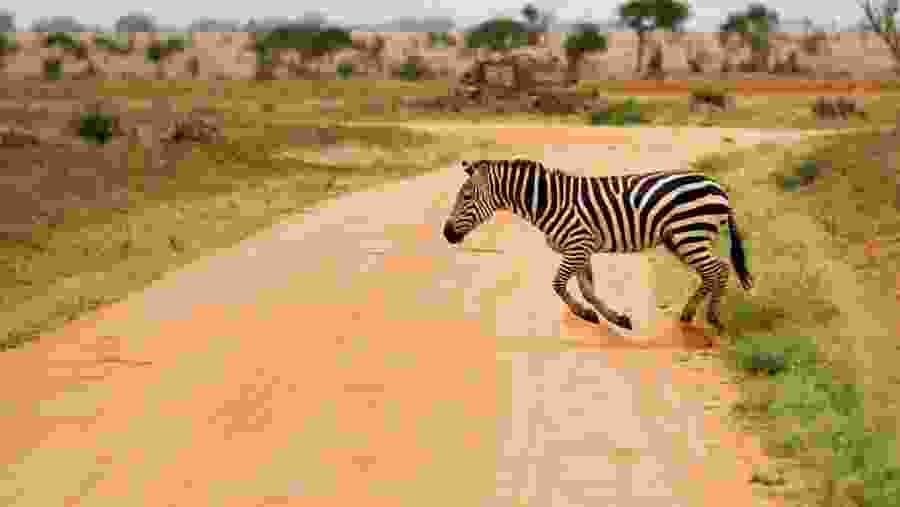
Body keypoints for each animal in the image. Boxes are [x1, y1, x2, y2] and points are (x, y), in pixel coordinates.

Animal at [442, 158, 754, 336]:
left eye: (466, 197)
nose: (446, 234)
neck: (546, 202)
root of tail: (717, 186)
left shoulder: (577, 245)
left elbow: (558, 285)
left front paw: (585, 314)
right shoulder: (581, 249)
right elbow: (588, 290)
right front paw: (612, 318)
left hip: (690, 234)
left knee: (719, 270)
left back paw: (712, 318)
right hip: (680, 239)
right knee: (713, 271)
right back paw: (689, 314)